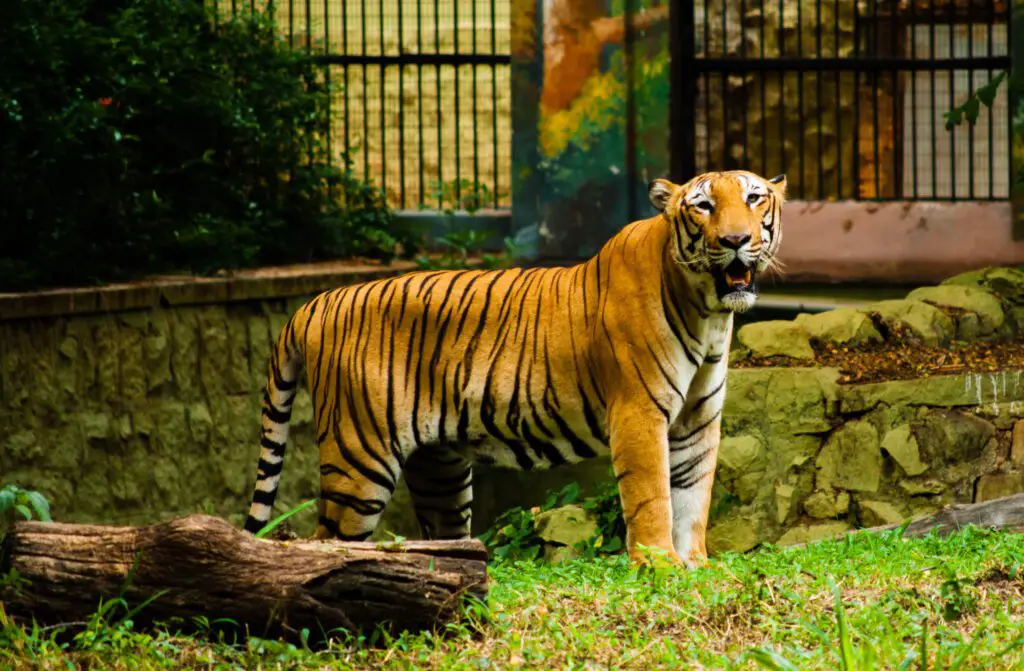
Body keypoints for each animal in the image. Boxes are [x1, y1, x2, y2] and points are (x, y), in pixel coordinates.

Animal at [243, 169, 786, 565]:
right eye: (703, 206)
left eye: (754, 198)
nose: (736, 239)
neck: (708, 312)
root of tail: (314, 302)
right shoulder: (639, 412)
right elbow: (653, 495)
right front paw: (659, 566)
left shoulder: (697, 420)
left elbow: (692, 497)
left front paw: (694, 567)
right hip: (359, 460)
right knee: (325, 538)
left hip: (439, 471)